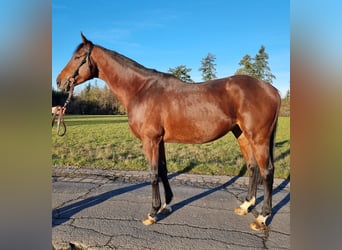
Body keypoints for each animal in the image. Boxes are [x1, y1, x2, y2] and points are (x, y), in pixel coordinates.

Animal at [56, 33, 280, 230]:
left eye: (78, 57)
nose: (59, 81)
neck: (140, 90)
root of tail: (273, 90)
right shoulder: (159, 140)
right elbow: (163, 169)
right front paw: (166, 205)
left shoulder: (150, 140)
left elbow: (154, 173)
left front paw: (152, 212)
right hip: (241, 134)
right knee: (252, 167)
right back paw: (246, 205)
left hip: (258, 138)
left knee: (267, 171)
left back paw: (261, 217)